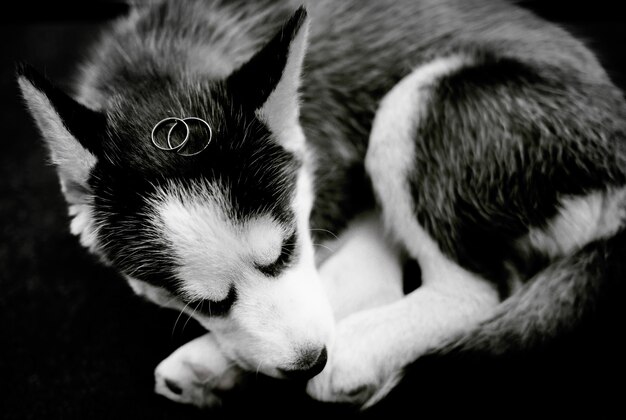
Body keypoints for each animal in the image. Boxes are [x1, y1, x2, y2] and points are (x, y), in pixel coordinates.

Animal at [18, 0, 624, 410]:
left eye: (286, 248)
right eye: (204, 303)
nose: (311, 362)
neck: (160, 65)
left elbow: (335, 283)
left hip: (419, 97)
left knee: (477, 289)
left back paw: (361, 348)